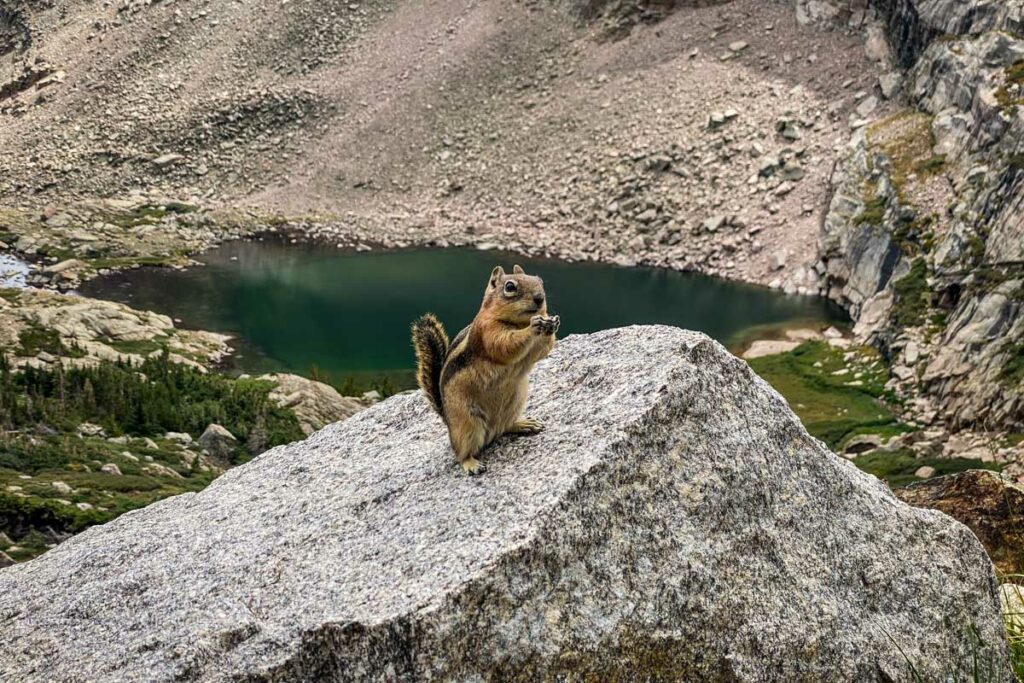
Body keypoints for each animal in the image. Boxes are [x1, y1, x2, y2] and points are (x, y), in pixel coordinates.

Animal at [411, 264, 565, 473]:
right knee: (460, 452)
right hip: (467, 423)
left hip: (516, 403)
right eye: (510, 287)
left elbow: (542, 350)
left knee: (505, 427)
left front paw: (551, 323)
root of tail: (446, 419)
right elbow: (506, 345)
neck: (518, 322)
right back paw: (471, 464)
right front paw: (534, 326)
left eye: (539, 280)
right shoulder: (488, 332)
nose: (540, 298)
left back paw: (525, 423)